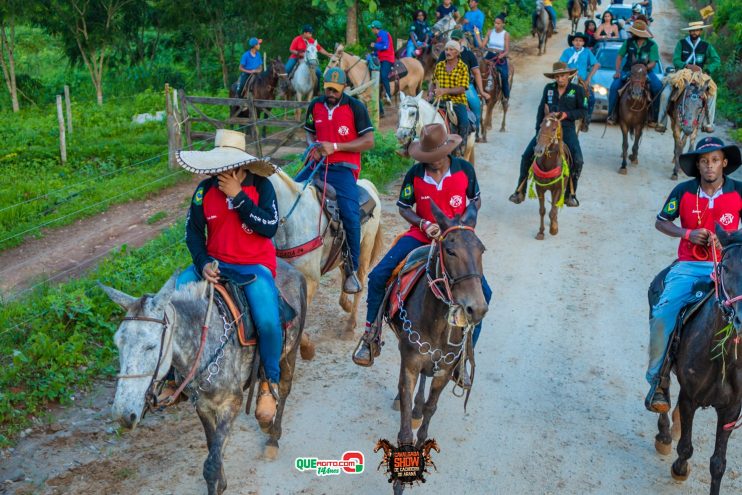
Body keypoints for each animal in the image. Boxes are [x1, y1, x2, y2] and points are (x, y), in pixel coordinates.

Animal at [103, 260, 306, 495]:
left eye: (151, 346)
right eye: (118, 343)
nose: (122, 415)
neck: (206, 341)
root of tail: (291, 268)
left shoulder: (231, 402)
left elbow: (211, 463)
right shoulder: (201, 404)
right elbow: (213, 448)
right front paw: (222, 481)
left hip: (290, 351)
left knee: (283, 388)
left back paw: (272, 437)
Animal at [270, 169, 384, 342]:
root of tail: (367, 184)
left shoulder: (310, 280)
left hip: (365, 247)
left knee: (361, 280)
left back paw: (350, 325)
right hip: (342, 255)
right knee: (346, 273)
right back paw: (346, 302)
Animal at [390, 202, 488, 492]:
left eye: (481, 250)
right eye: (450, 250)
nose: (477, 308)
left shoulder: (444, 371)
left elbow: (430, 410)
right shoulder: (410, 365)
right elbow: (405, 422)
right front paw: (400, 480)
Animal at [532, 110, 572, 240]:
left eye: (554, 129)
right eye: (540, 126)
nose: (538, 150)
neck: (549, 164)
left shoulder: (558, 188)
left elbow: (553, 210)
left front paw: (554, 228)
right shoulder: (539, 188)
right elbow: (542, 210)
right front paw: (541, 232)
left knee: (556, 206)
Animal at [652, 226, 742, 495]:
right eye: (725, 267)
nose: (741, 317)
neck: (723, 357)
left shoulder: (731, 410)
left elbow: (718, 463)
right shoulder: (690, 397)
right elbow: (685, 447)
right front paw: (679, 469)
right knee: (662, 387)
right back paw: (664, 433)